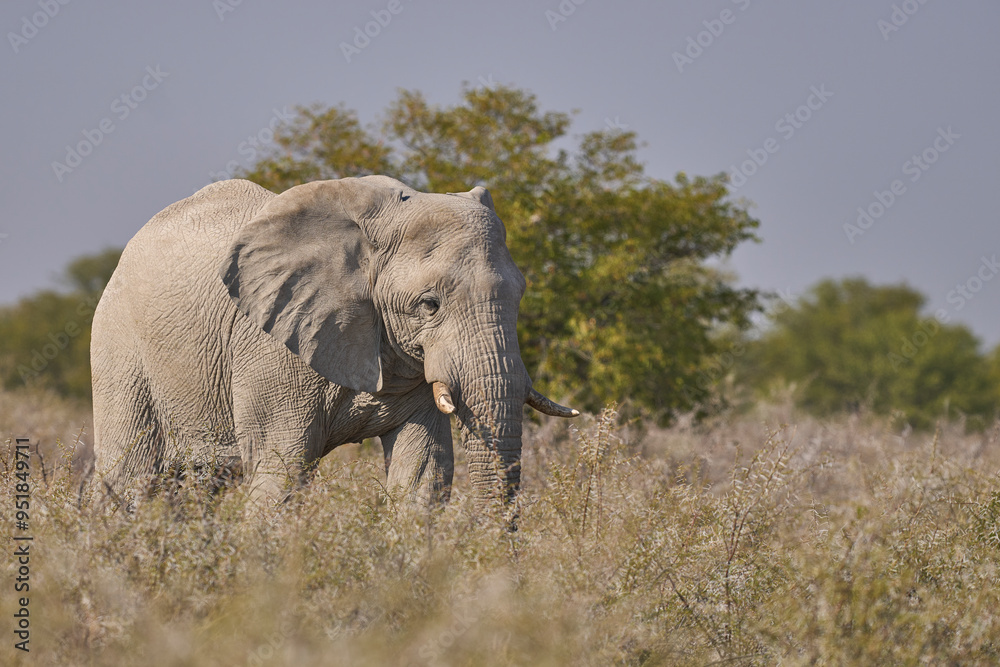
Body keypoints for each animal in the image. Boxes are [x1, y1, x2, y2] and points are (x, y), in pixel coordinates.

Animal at [90, 176, 577, 508]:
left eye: (519, 296)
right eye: (430, 304)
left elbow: (423, 474)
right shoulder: (271, 351)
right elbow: (280, 473)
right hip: (117, 347)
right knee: (132, 480)